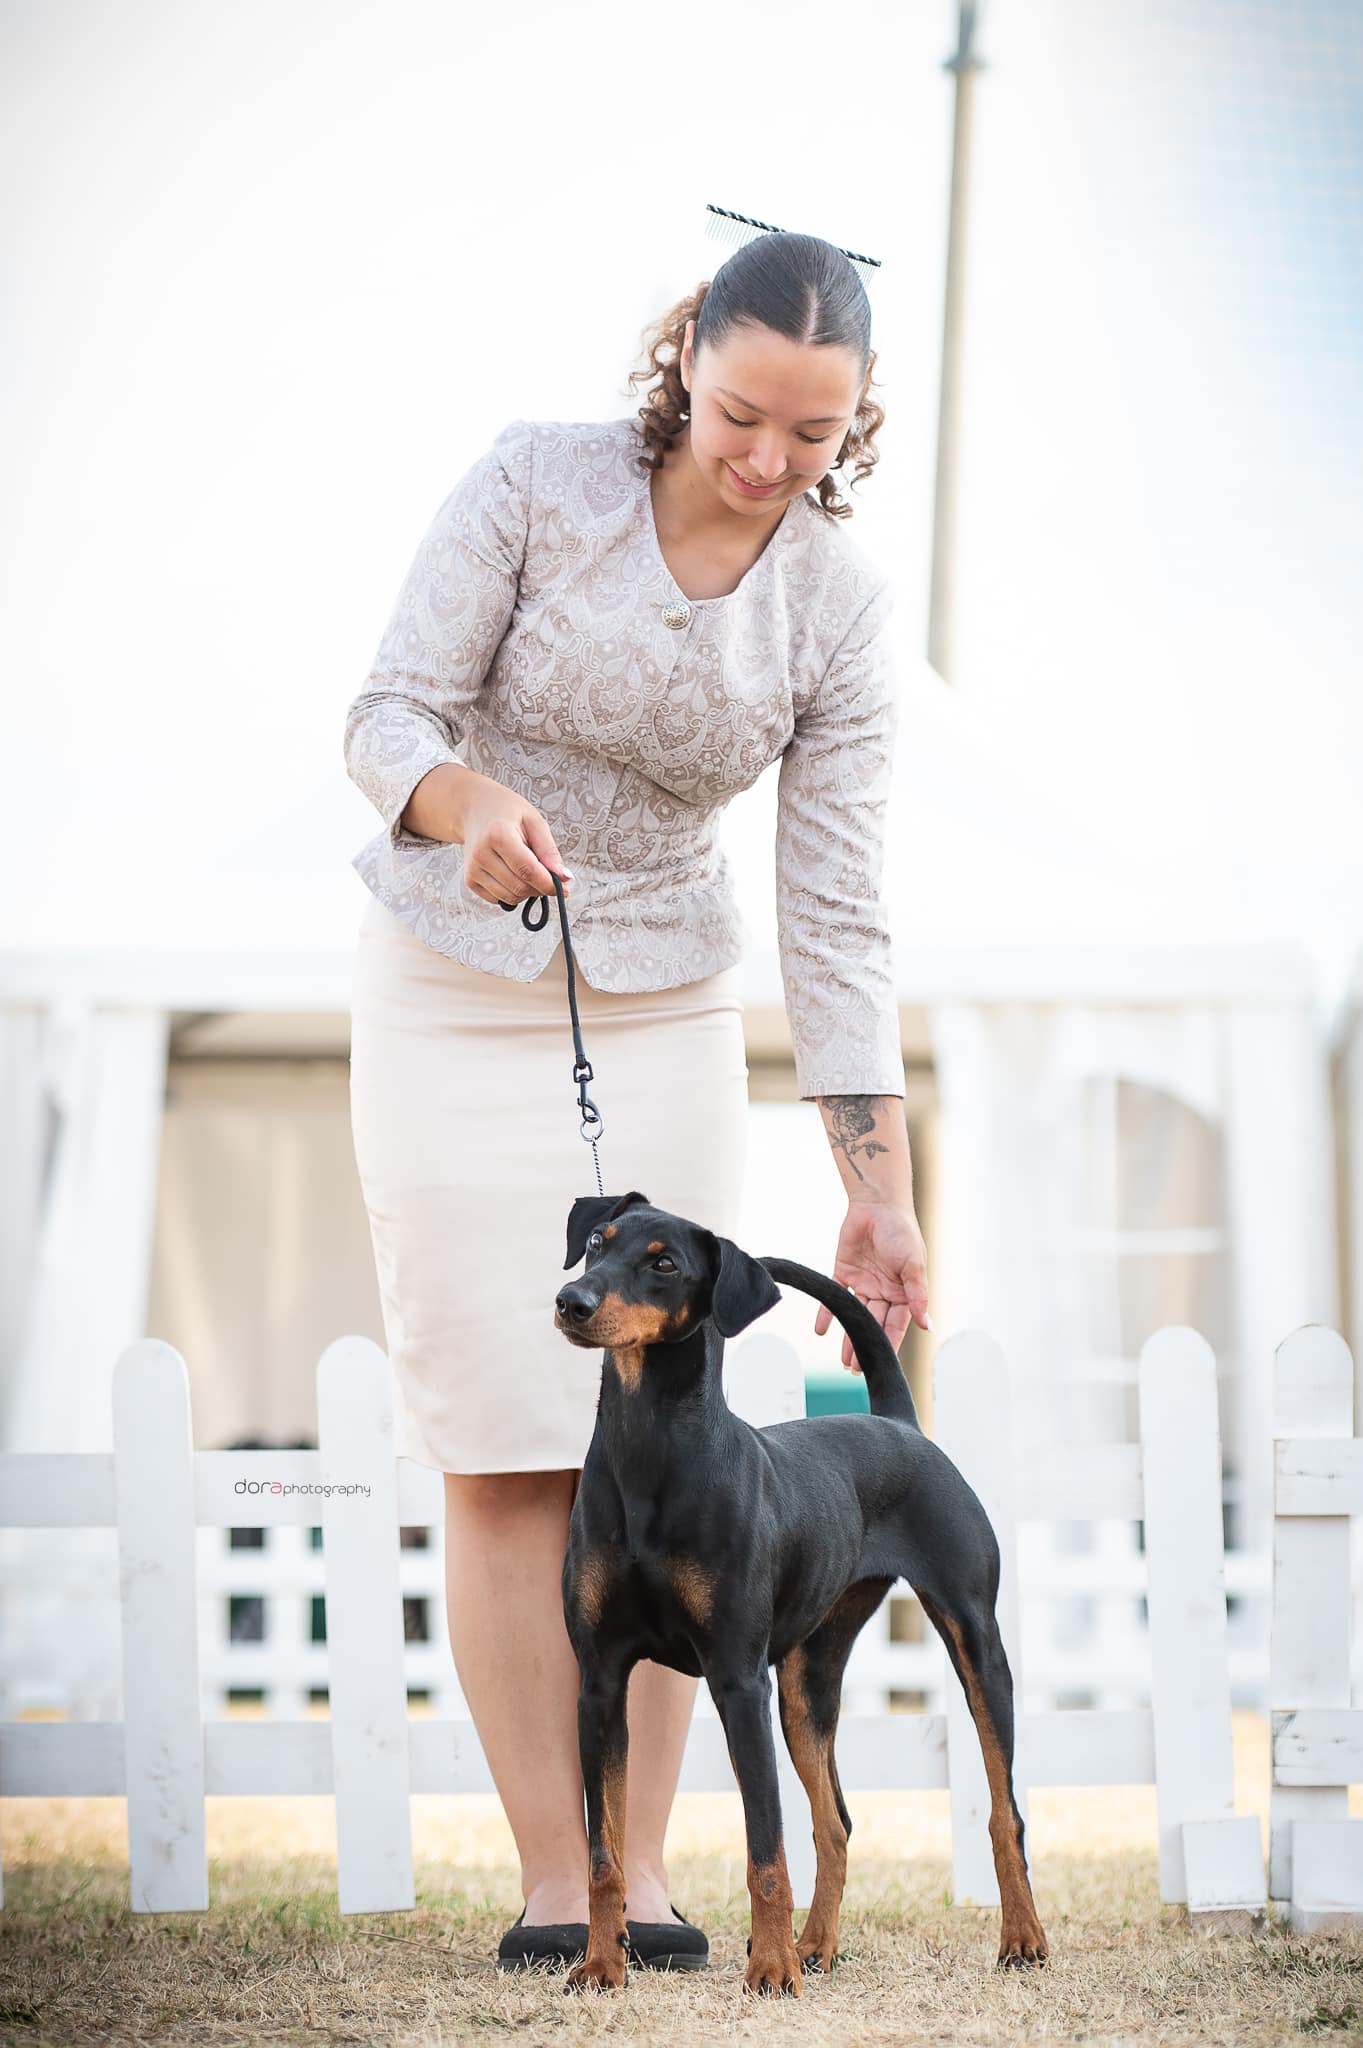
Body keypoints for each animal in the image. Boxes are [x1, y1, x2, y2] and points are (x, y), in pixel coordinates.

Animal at [553, 1189, 1047, 1994]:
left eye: (665, 1264)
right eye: (598, 1240)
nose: (572, 1301)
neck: (650, 1452)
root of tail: (898, 1423)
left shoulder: (735, 1679)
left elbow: (765, 1847)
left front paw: (770, 1970)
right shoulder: (599, 1683)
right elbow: (605, 1852)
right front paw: (599, 1968)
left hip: (975, 1641)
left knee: (1003, 1809)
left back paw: (1021, 1937)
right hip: (806, 1680)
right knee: (834, 1821)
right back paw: (817, 1945)